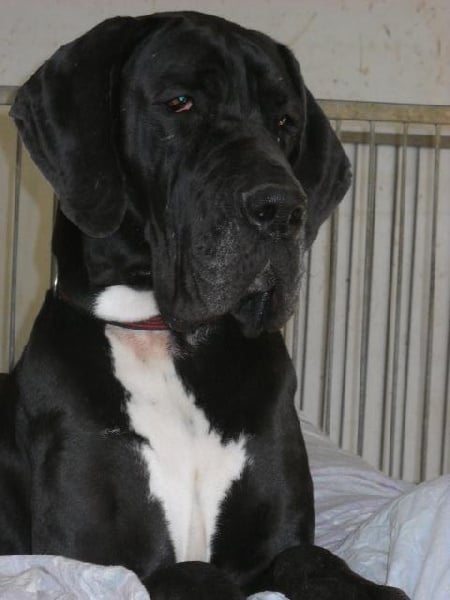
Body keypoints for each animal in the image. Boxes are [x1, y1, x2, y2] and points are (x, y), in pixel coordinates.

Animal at [0, 11, 409, 600]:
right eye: (180, 103)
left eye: (284, 121)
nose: (283, 208)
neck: (166, 338)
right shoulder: (97, 561)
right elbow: (191, 571)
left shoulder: (269, 547)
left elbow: (310, 557)